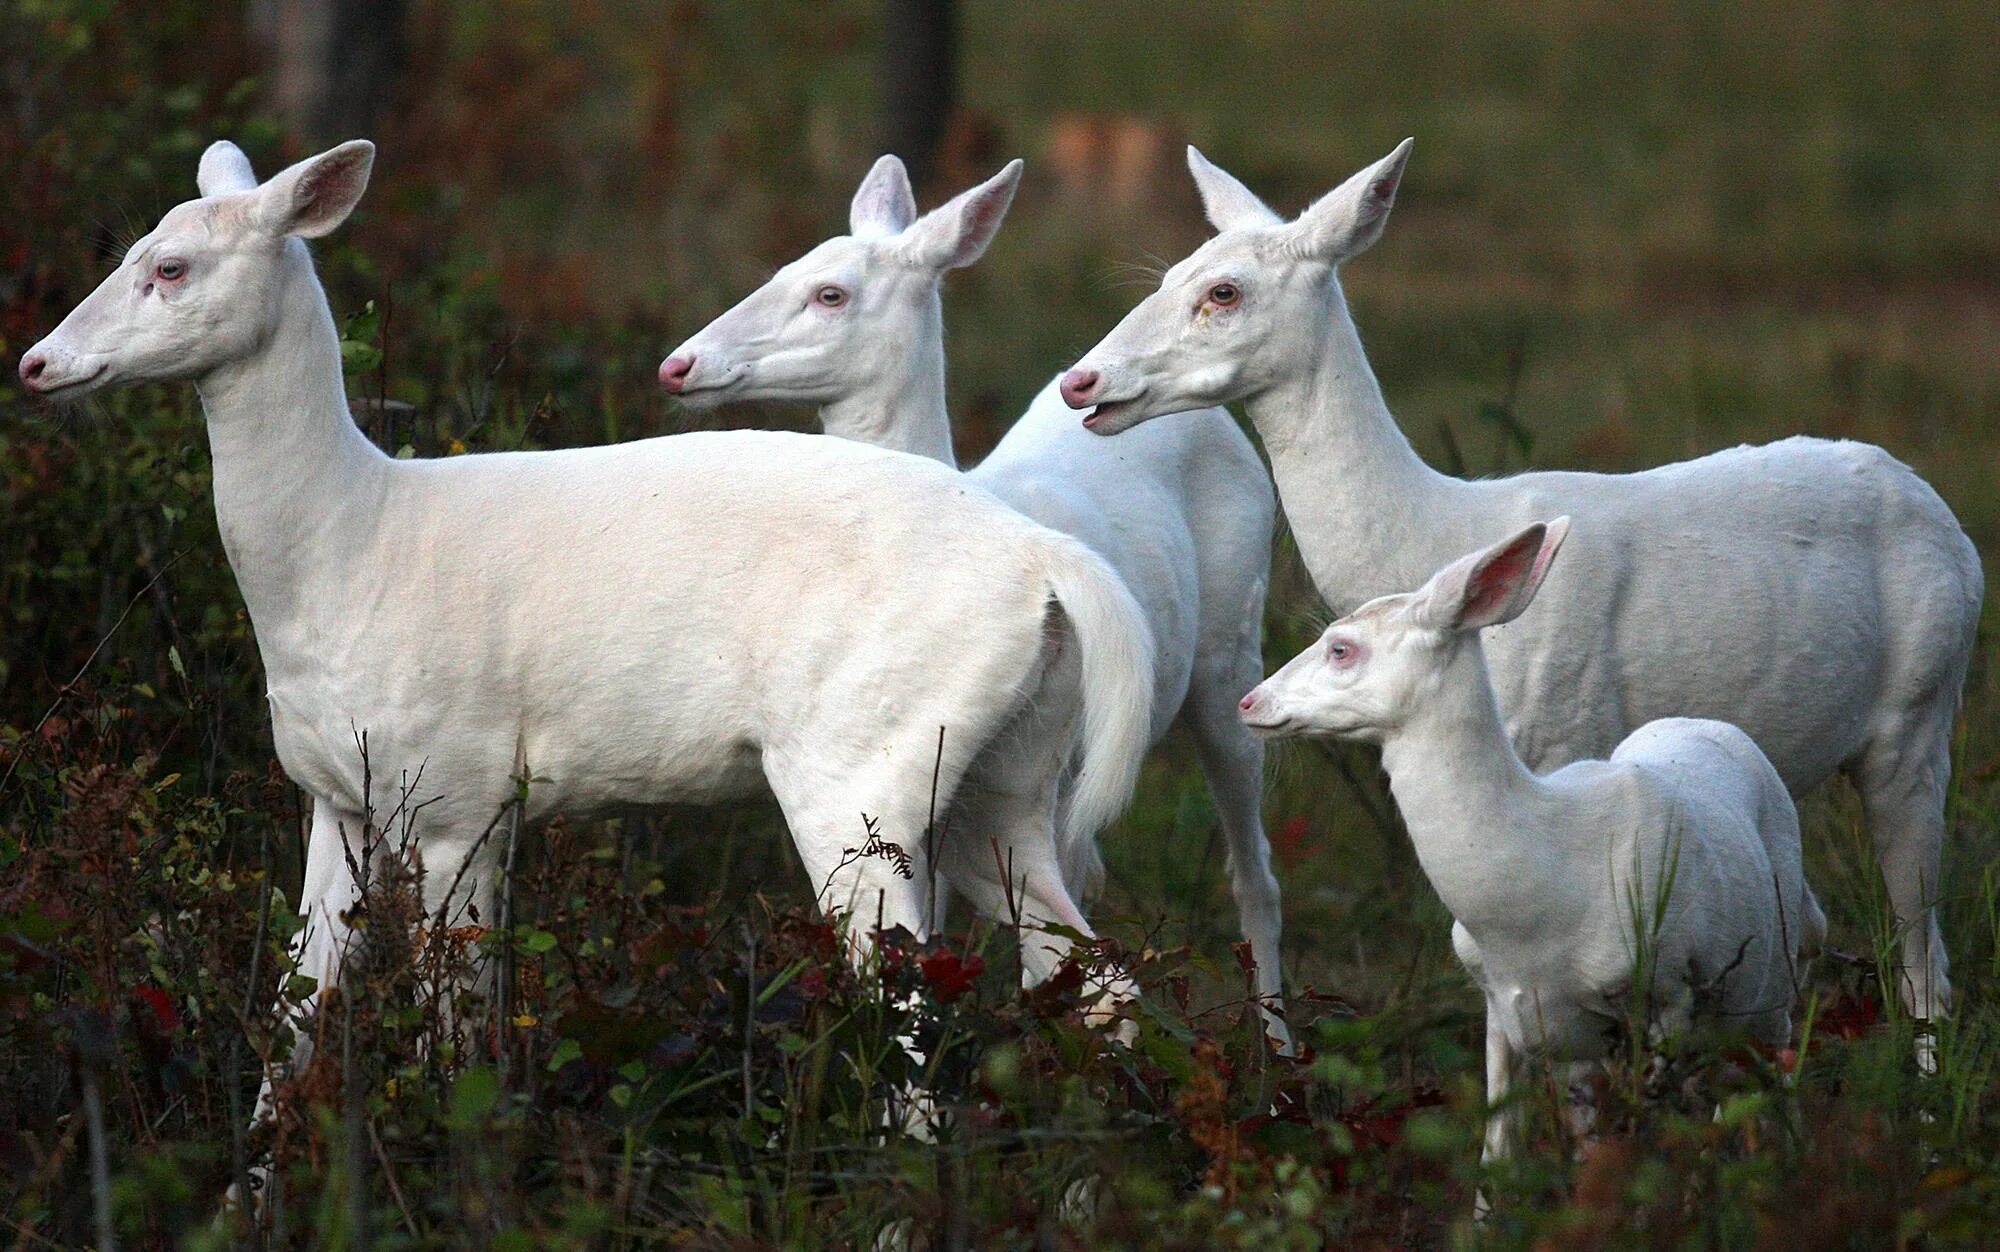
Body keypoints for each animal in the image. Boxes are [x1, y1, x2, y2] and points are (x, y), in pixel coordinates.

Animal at [15, 139, 1160, 1128]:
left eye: (170, 266)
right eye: (130, 247)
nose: (35, 362)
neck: (352, 549)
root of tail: (1051, 565)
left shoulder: (460, 791)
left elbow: (456, 1034)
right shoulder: (334, 795)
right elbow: (294, 1015)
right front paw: (248, 1188)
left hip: (859, 767)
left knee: (914, 1012)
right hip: (1000, 781)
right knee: (1091, 976)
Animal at [656, 156, 1280, 1040]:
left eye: (831, 293)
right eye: (779, 269)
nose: (680, 365)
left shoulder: (1054, 783)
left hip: (1231, 653)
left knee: (1251, 869)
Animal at [1064, 136, 1984, 1040]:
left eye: (1224, 291)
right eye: (1168, 274)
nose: (1081, 381)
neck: (1438, 533)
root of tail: (1957, 531)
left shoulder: (1568, 731)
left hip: (1921, 707)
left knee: (1925, 953)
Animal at [1248, 520, 1832, 1176]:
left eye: (1341, 648)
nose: (1250, 701)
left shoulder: (1667, 989)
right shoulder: (1505, 1008)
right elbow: (1502, 1153)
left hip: (1772, 985)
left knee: (1773, 1079)